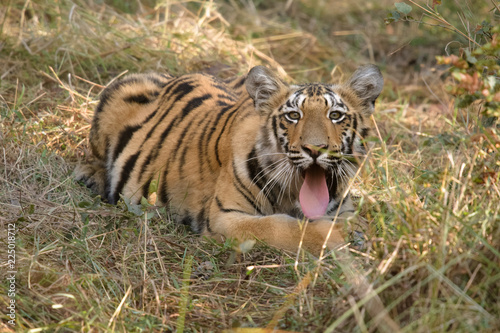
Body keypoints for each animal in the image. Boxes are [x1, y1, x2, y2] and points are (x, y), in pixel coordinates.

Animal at [75, 64, 382, 252]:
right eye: (294, 116)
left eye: (336, 116)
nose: (316, 149)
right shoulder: (226, 216)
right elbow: (283, 228)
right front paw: (343, 235)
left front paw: (359, 230)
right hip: (124, 87)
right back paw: (91, 177)